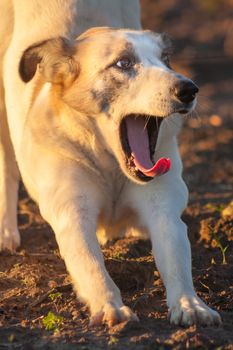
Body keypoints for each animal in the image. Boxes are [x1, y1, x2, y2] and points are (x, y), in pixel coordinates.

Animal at [0, 0, 222, 328]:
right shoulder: (72, 214)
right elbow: (91, 263)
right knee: (6, 170)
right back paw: (6, 233)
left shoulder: (164, 212)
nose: (189, 89)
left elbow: (176, 260)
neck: (111, 166)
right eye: (123, 63)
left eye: (166, 60)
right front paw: (110, 307)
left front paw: (190, 305)